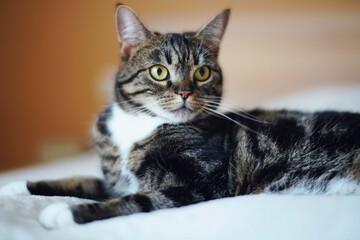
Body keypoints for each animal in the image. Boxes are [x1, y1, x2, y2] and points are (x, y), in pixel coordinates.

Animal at [0, 3, 360, 229]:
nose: (185, 91)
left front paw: (65, 212)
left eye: (202, 72)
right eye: (159, 71)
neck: (139, 124)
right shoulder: (113, 180)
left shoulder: (200, 184)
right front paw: (17, 186)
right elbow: (81, 180)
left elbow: (135, 201)